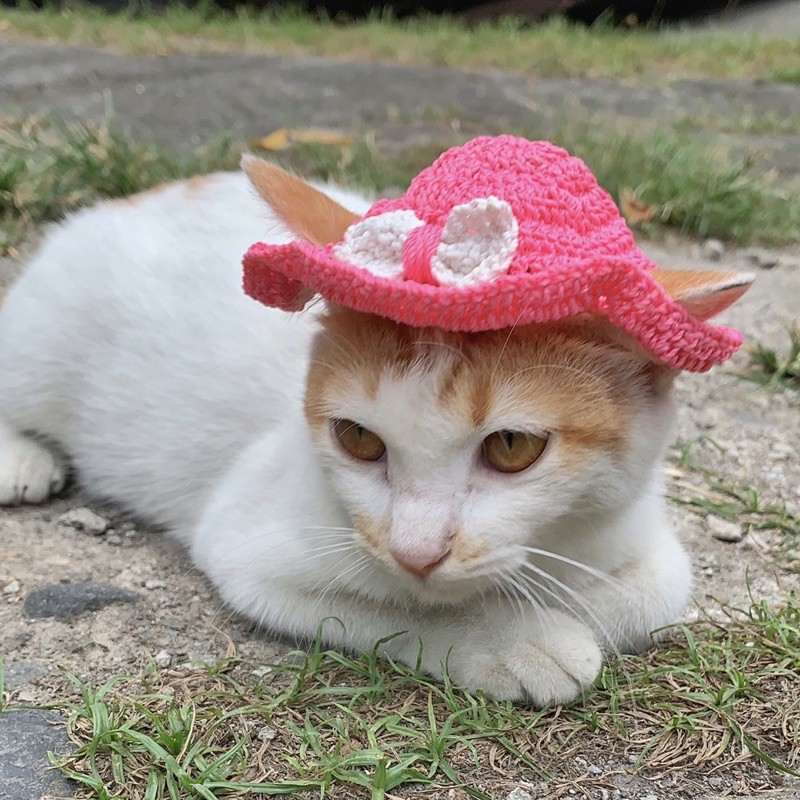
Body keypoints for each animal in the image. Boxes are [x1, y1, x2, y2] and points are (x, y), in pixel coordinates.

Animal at [0, 156, 752, 708]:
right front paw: (516, 636)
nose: (415, 552)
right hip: (41, 337)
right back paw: (21, 457)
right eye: (357, 439)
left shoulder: (638, 527)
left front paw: (558, 604)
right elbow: (405, 610)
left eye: (512, 447)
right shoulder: (252, 544)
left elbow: (650, 591)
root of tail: (132, 199)